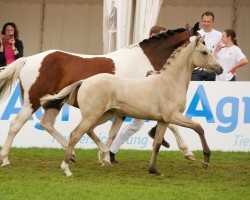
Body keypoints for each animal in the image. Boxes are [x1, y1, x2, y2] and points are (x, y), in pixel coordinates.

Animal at [0, 23, 199, 167]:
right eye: (203, 43)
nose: (205, 70)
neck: (145, 61)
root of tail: (28, 59)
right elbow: (172, 124)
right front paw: (188, 152)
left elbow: (114, 132)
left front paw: (104, 156)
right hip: (32, 101)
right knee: (16, 125)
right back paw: (6, 159)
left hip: (54, 102)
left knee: (46, 123)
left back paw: (72, 154)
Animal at [40, 36, 223, 177]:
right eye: (204, 52)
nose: (220, 69)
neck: (169, 82)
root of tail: (85, 81)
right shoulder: (173, 116)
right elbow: (199, 128)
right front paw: (205, 161)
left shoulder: (163, 120)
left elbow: (157, 143)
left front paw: (154, 170)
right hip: (93, 115)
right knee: (75, 134)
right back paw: (67, 169)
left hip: (104, 115)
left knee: (89, 131)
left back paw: (104, 157)